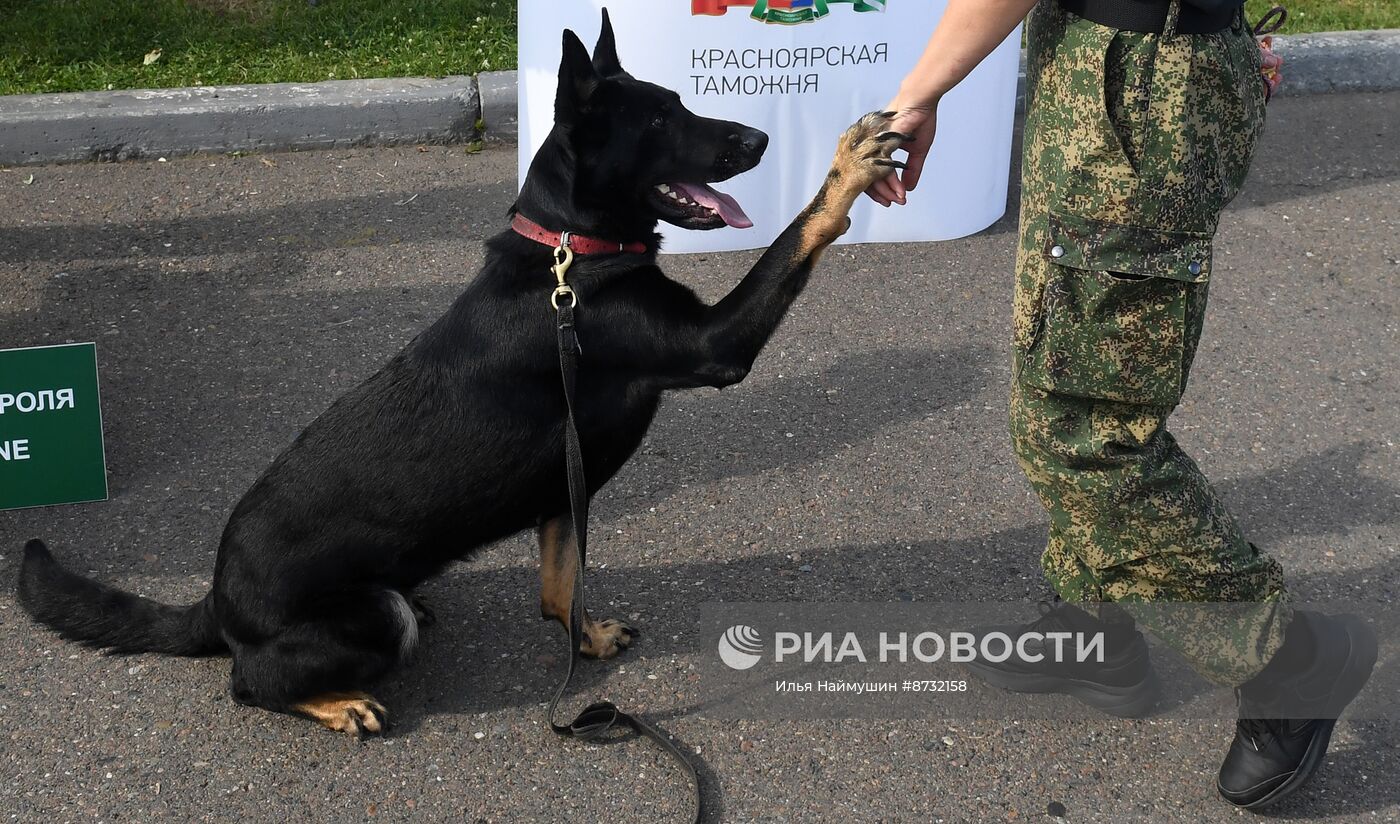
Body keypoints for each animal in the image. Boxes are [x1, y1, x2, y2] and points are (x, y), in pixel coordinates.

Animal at [19, 11, 907, 733]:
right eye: (662, 117)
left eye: (680, 103)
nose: (760, 142)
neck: (570, 250)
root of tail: (215, 599)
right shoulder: (715, 345)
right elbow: (797, 236)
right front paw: (848, 165)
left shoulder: (563, 491)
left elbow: (561, 588)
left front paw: (586, 640)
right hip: (370, 618)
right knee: (249, 684)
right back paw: (339, 703)